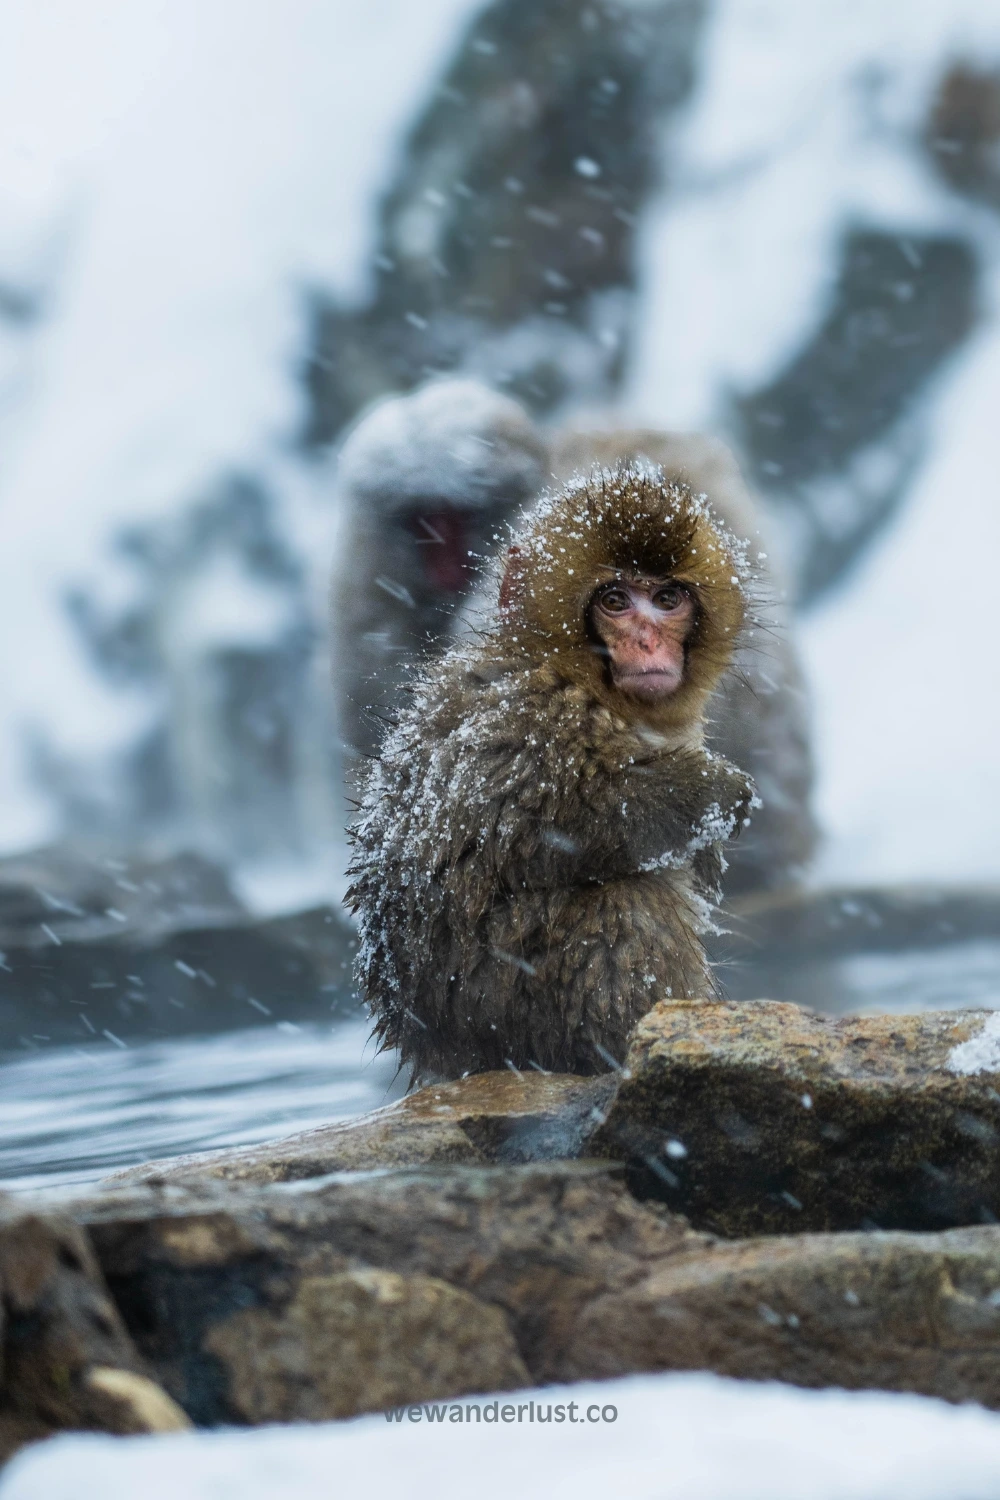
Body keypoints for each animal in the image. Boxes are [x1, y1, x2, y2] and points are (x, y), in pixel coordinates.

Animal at [347, 462, 755, 1086]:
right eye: (615, 600)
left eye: (667, 599)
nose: (648, 642)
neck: (572, 673)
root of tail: (439, 1053)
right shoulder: (534, 721)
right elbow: (537, 822)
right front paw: (714, 794)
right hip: (508, 998)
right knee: (623, 902)